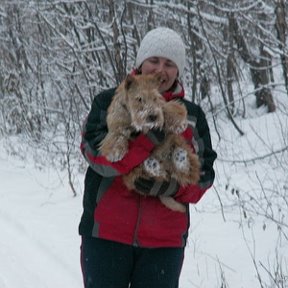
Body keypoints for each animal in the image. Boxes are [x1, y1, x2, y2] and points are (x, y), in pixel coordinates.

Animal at [99, 73, 200, 214]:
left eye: (154, 97)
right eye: (139, 99)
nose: (152, 117)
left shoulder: (162, 105)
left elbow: (168, 108)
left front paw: (178, 122)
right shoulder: (117, 121)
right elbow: (117, 134)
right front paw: (115, 151)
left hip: (179, 143)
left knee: (189, 172)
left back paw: (180, 158)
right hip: (131, 174)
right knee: (149, 173)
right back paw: (152, 165)